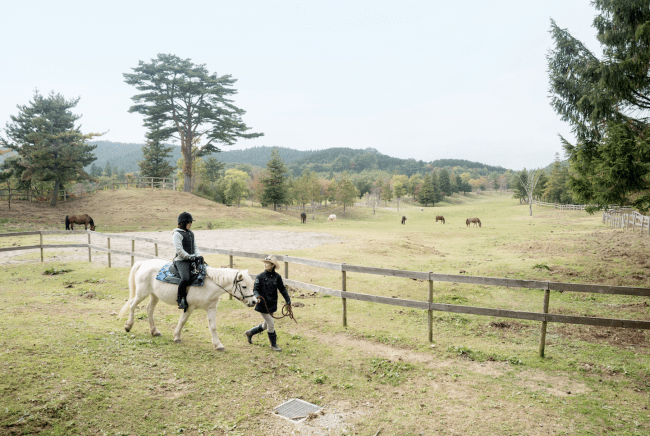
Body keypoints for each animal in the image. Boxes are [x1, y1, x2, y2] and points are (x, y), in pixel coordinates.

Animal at [119, 258, 256, 350]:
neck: (208, 284)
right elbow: (182, 321)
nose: (254, 301)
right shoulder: (189, 307)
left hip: (154, 295)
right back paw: (128, 326)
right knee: (132, 304)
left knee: (149, 309)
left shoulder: (211, 308)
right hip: (142, 293)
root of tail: (143, 263)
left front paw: (218, 345)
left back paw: (155, 331)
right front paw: (177, 337)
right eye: (244, 286)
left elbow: (213, 327)